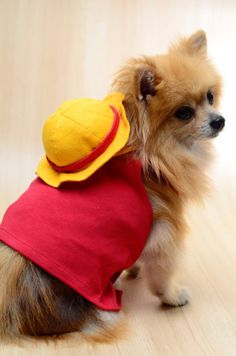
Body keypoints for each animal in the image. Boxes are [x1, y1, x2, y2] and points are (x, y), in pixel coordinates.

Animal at [0, 30, 225, 340]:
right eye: (184, 112)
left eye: (210, 97)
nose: (220, 120)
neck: (154, 153)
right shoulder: (167, 226)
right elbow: (162, 273)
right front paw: (173, 296)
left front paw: (133, 269)